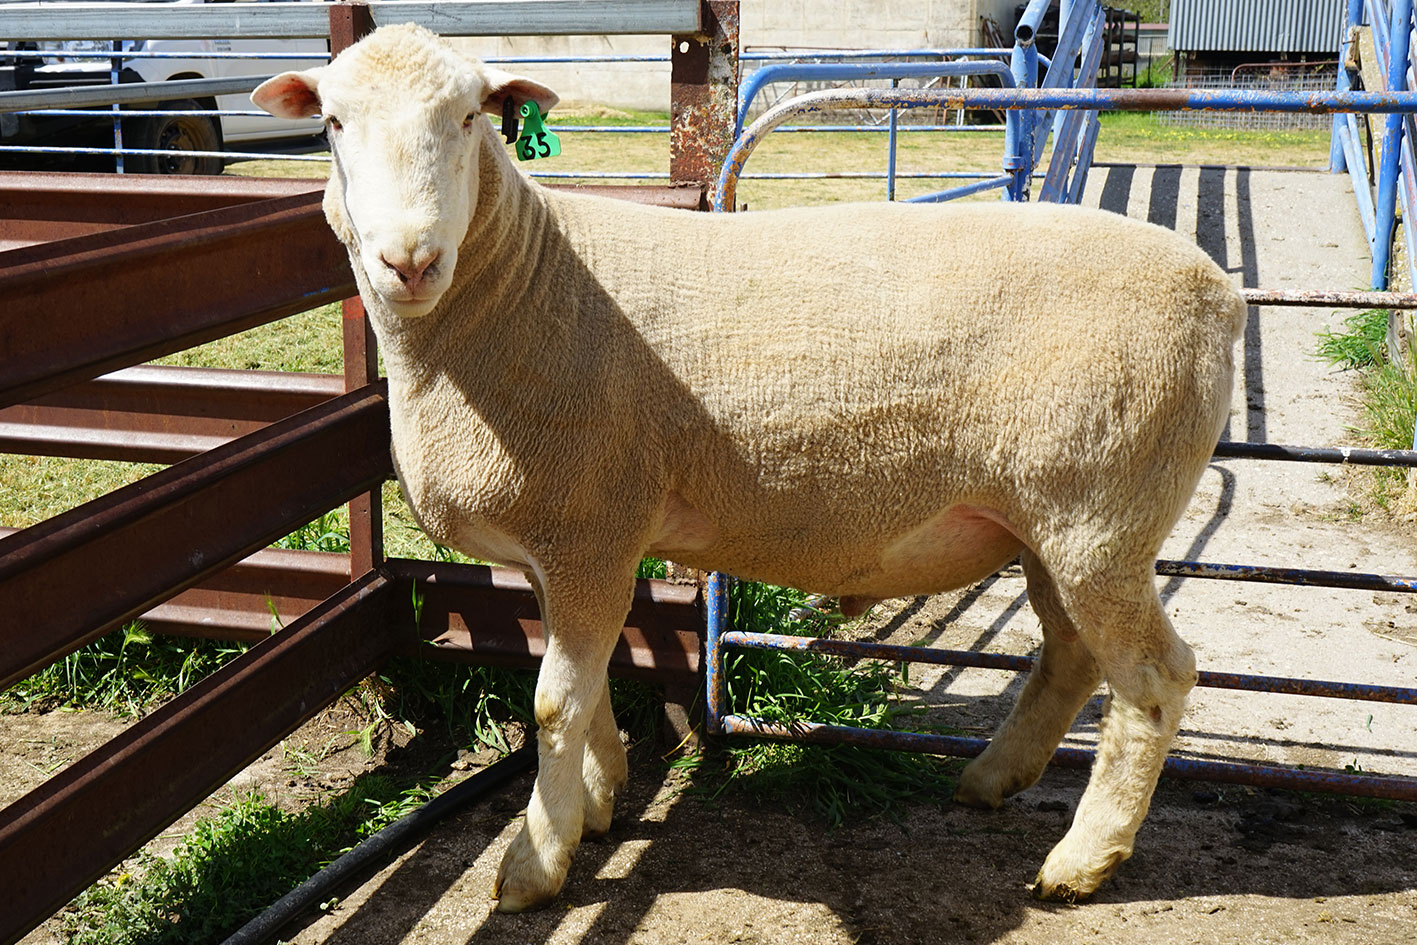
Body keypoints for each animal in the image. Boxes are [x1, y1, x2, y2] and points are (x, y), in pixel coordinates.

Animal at [252, 25, 1241, 918]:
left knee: (1154, 680)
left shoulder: (588, 527)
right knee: (1071, 657)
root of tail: (1218, 292)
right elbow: (592, 686)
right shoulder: (565, 543)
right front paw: (597, 805)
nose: (408, 260)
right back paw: (994, 779)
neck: (521, 281)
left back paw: (1081, 861)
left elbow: (553, 706)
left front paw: (536, 863)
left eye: (467, 118)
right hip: (1049, 520)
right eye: (332, 124)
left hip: (1102, 510)